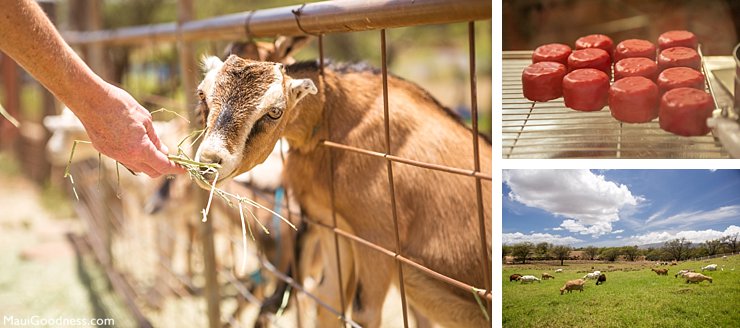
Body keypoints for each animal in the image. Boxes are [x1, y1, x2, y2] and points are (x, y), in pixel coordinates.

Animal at [192, 55, 492, 326]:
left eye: (274, 111)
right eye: (202, 94)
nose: (208, 162)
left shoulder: (376, 239)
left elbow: (364, 314)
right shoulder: (332, 226)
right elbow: (328, 301)